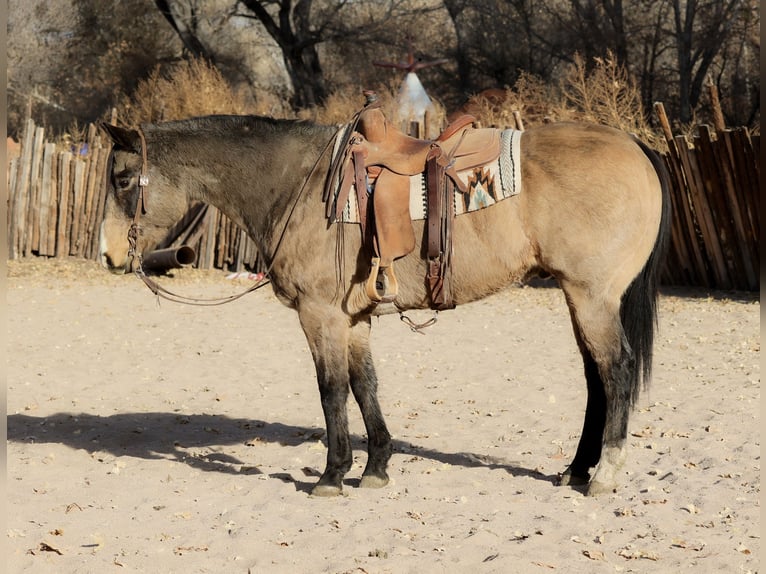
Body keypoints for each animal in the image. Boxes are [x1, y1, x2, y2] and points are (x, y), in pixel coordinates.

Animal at [100, 109, 672, 500]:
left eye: (123, 180)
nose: (109, 254)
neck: (298, 186)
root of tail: (634, 146)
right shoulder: (353, 320)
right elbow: (364, 385)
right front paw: (375, 467)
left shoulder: (321, 316)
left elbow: (331, 391)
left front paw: (332, 474)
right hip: (580, 300)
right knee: (596, 380)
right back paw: (577, 469)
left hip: (592, 298)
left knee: (617, 371)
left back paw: (605, 473)